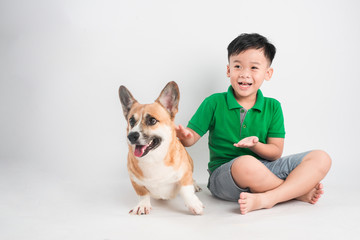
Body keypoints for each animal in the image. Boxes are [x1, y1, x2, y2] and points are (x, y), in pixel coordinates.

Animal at [118, 81, 202, 215]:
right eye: (131, 121)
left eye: (152, 120)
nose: (131, 136)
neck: (153, 159)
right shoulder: (135, 181)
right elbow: (142, 193)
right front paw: (143, 205)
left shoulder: (185, 174)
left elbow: (186, 189)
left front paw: (193, 204)